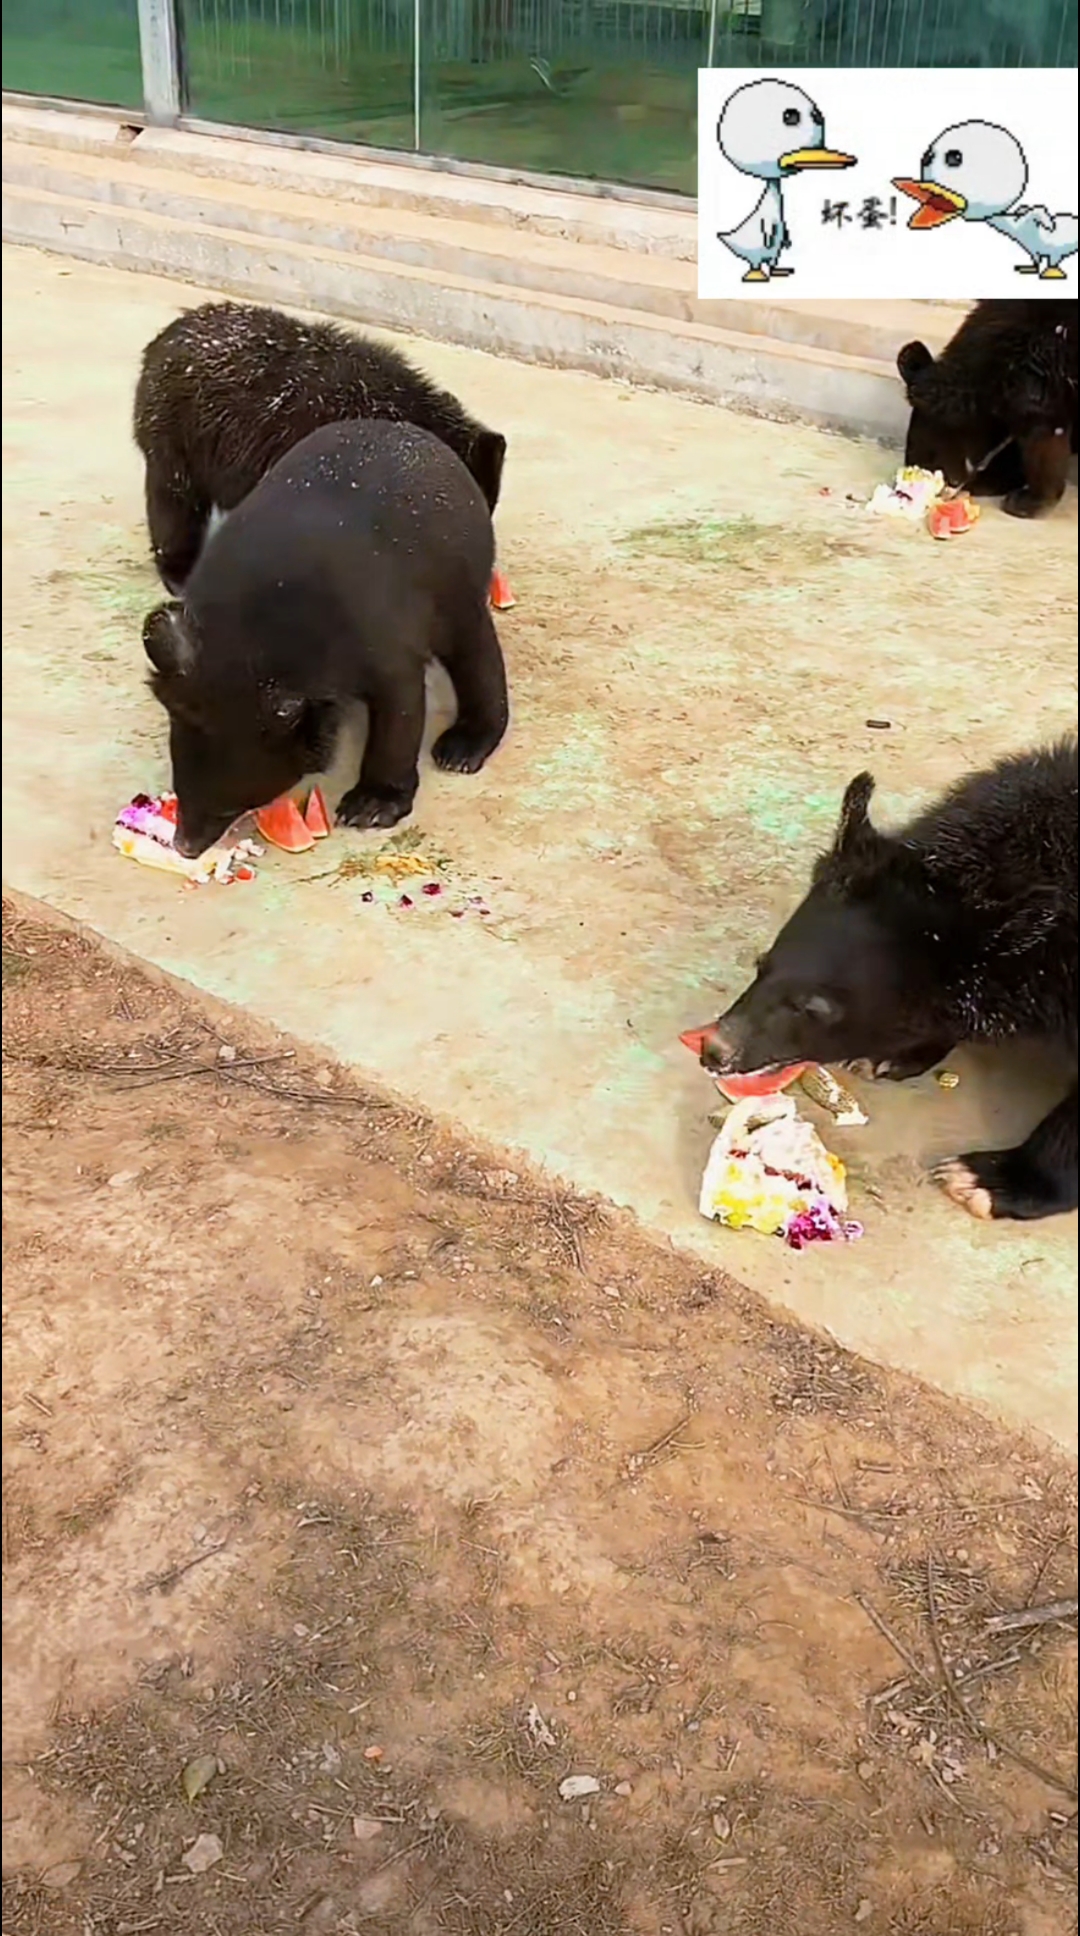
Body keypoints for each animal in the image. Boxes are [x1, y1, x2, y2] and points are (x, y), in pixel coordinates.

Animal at [143, 418, 509, 859]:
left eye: (228, 806)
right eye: (181, 790)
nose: (185, 846)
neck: (251, 637)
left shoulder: (375, 628)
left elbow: (399, 703)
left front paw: (371, 804)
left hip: (457, 573)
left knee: (474, 650)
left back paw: (463, 747)